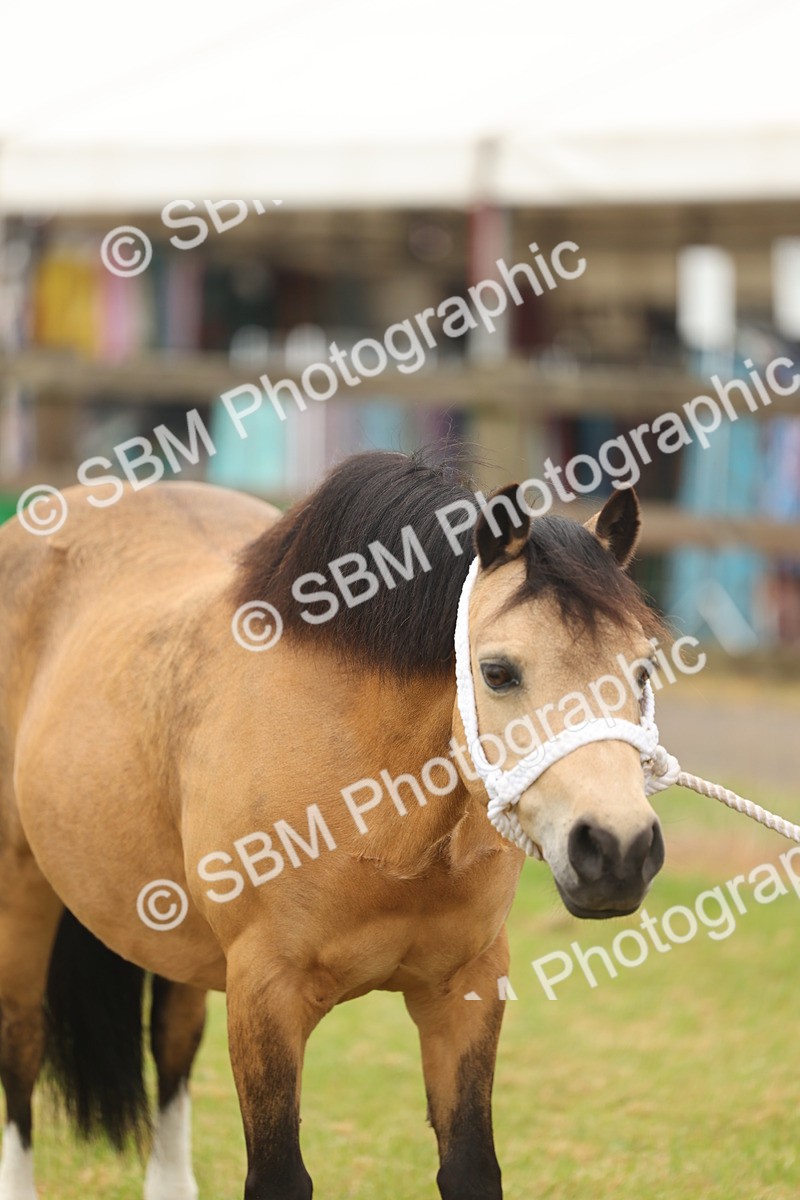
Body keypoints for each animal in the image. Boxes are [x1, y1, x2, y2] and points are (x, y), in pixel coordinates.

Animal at [0, 449, 665, 1200]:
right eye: (497, 672)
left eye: (642, 669)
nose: (617, 848)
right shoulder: (265, 996)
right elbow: (280, 1176)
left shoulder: (466, 987)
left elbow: (471, 1167)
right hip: (21, 894)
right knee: (21, 1046)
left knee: (171, 1043)